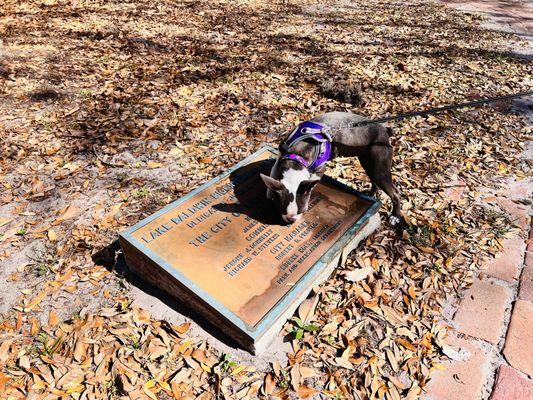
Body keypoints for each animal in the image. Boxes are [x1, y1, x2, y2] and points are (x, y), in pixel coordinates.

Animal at [260, 111, 402, 227]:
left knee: (394, 192)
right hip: (369, 163)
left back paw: (395, 216)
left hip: (379, 167)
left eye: (303, 211)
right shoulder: (280, 158)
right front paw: (270, 192)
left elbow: (312, 181)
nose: (291, 220)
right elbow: (273, 174)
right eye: (281, 210)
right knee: (374, 180)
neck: (297, 155)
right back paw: (371, 194)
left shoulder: (319, 170)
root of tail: (384, 130)